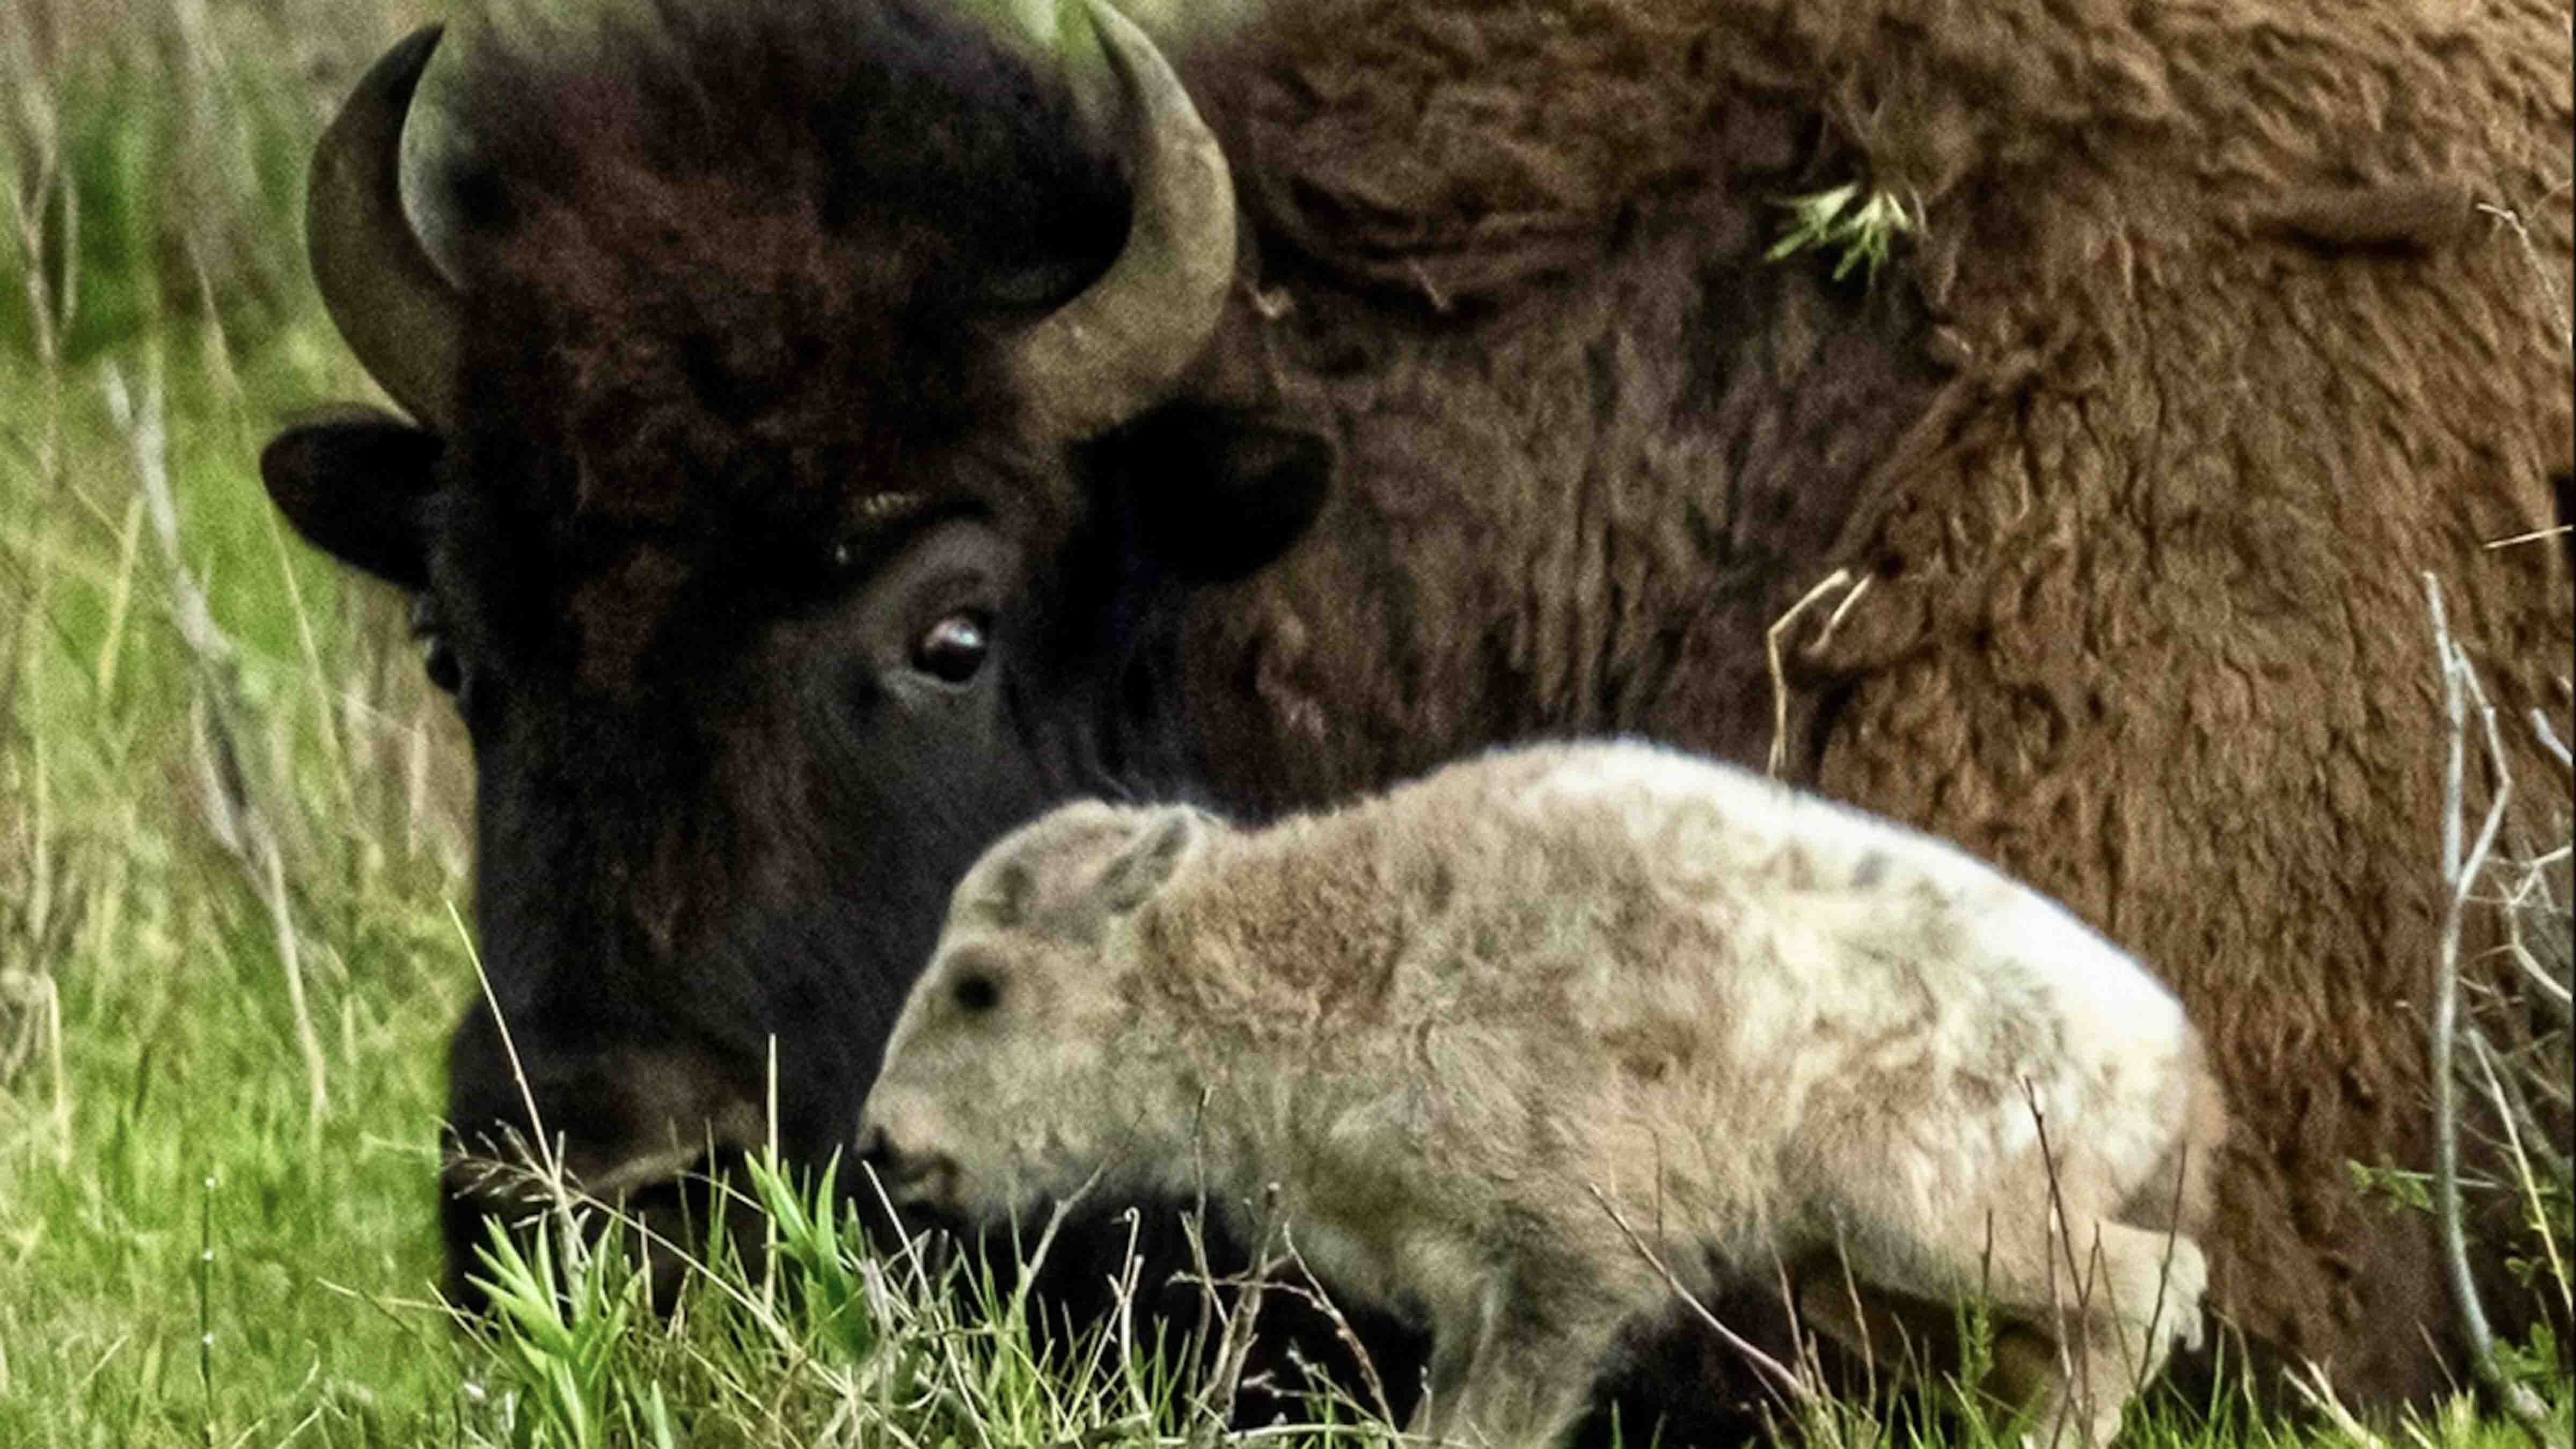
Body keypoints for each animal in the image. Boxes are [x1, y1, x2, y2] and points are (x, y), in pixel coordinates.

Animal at [860, 737, 2215, 1444]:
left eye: (979, 987)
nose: (880, 1140)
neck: (1314, 949)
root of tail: (2174, 1058)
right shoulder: (1472, 1291)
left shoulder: (1566, 1271)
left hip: (1929, 1214)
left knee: (2152, 1284)